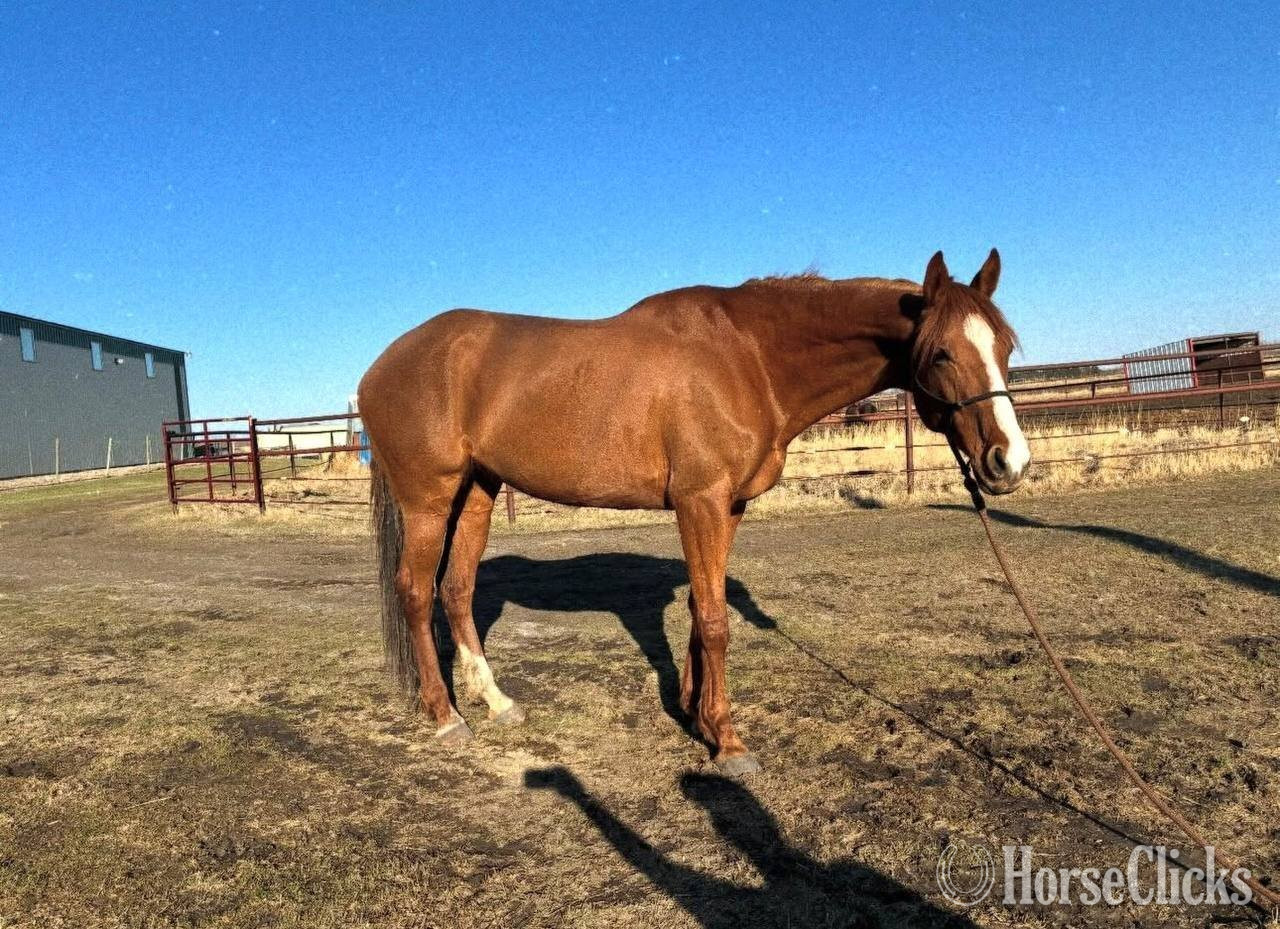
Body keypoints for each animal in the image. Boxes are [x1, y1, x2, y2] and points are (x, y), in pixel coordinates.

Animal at [357, 249, 1029, 775]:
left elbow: (700, 609)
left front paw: (696, 713)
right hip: (429, 499)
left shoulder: (727, 506)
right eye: (941, 353)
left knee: (456, 589)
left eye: (1004, 346)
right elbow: (713, 619)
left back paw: (496, 702)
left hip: (478, 490)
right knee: (415, 590)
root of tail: (378, 367)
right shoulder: (699, 500)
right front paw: (728, 742)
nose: (1009, 462)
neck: (749, 357)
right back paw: (446, 717)